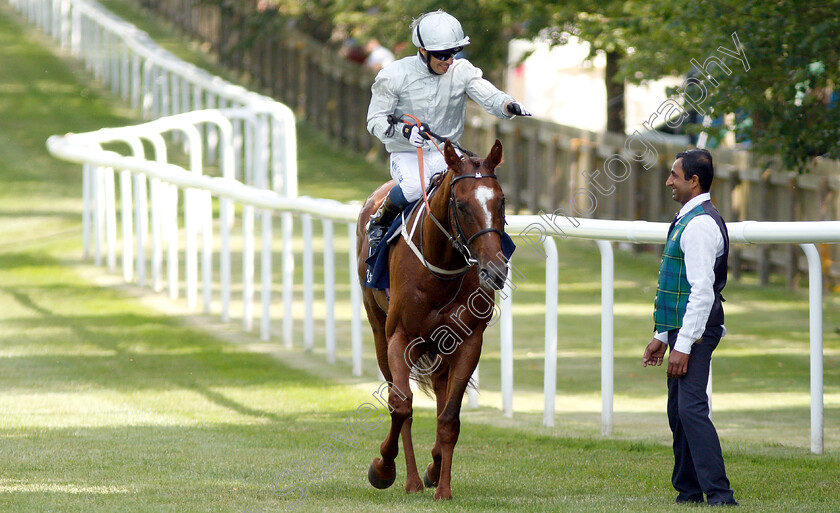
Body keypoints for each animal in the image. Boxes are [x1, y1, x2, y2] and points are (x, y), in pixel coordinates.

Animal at [356, 138, 508, 498]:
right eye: (462, 205)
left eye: (501, 201)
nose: (495, 269)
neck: (441, 266)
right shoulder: (399, 337)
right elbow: (400, 405)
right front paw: (384, 468)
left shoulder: (469, 341)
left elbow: (450, 416)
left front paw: (443, 486)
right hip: (378, 331)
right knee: (399, 397)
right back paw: (409, 478)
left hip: (442, 344)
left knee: (440, 392)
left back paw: (433, 468)